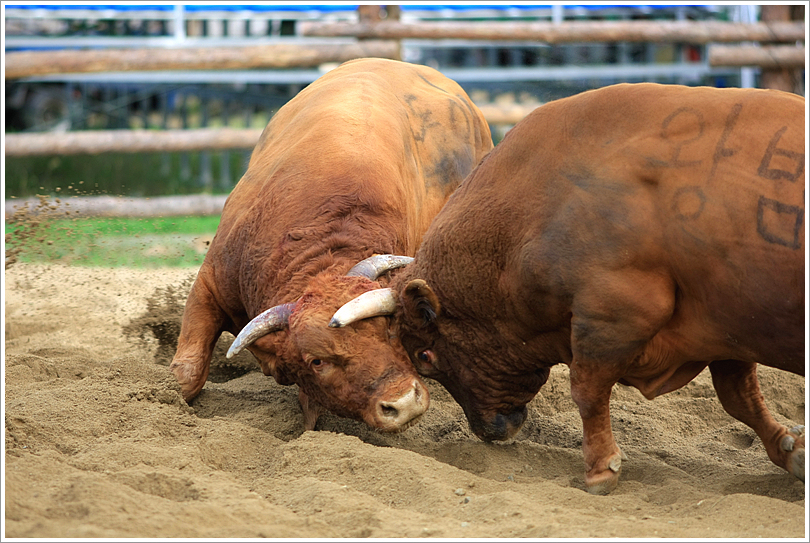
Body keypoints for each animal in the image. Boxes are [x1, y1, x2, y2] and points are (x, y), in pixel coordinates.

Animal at [332, 83, 804, 496]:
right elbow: (739, 397)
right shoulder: (726, 326)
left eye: (425, 357)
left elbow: (587, 389)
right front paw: (789, 448)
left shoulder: (615, 315)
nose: (490, 430)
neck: (539, 205)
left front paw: (599, 469)